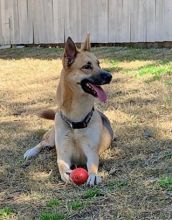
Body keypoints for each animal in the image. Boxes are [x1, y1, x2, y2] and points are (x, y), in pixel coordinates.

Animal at [23, 34, 114, 186]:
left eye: (99, 64)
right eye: (87, 66)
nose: (110, 76)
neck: (76, 121)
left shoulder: (92, 153)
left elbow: (93, 165)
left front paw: (94, 175)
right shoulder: (63, 155)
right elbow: (61, 166)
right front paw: (66, 174)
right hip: (52, 139)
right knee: (43, 142)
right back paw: (31, 152)